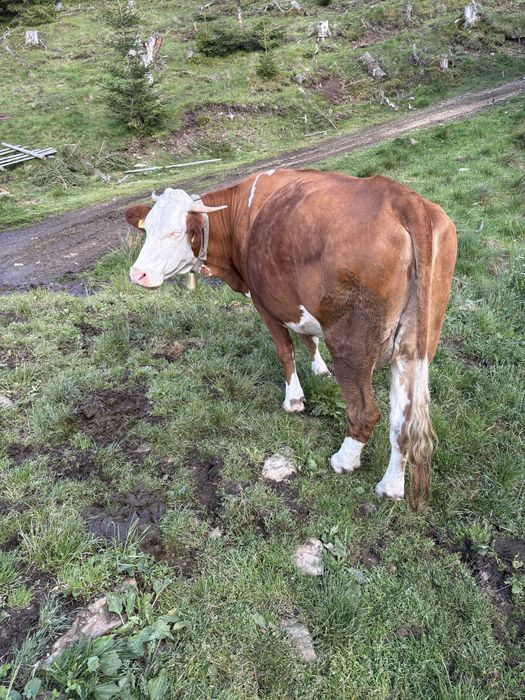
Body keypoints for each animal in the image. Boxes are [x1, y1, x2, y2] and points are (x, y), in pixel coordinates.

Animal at [125, 169, 457, 509]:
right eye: (147, 230)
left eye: (176, 232)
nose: (137, 274)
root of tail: (401, 197)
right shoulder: (293, 302)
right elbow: (308, 339)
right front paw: (319, 370)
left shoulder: (264, 303)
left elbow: (285, 351)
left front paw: (294, 399)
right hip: (415, 345)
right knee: (402, 421)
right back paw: (390, 486)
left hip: (350, 343)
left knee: (366, 410)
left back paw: (344, 460)